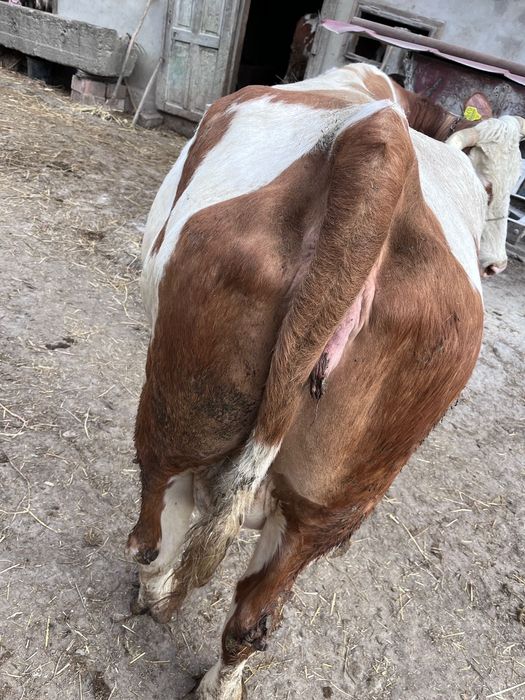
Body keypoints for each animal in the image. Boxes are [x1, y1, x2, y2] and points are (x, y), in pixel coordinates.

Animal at [127, 62, 524, 699]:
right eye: (490, 187)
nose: (495, 264)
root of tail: (380, 151)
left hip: (180, 406)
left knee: (156, 525)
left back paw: (154, 595)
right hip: (337, 496)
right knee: (253, 616)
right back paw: (220, 682)